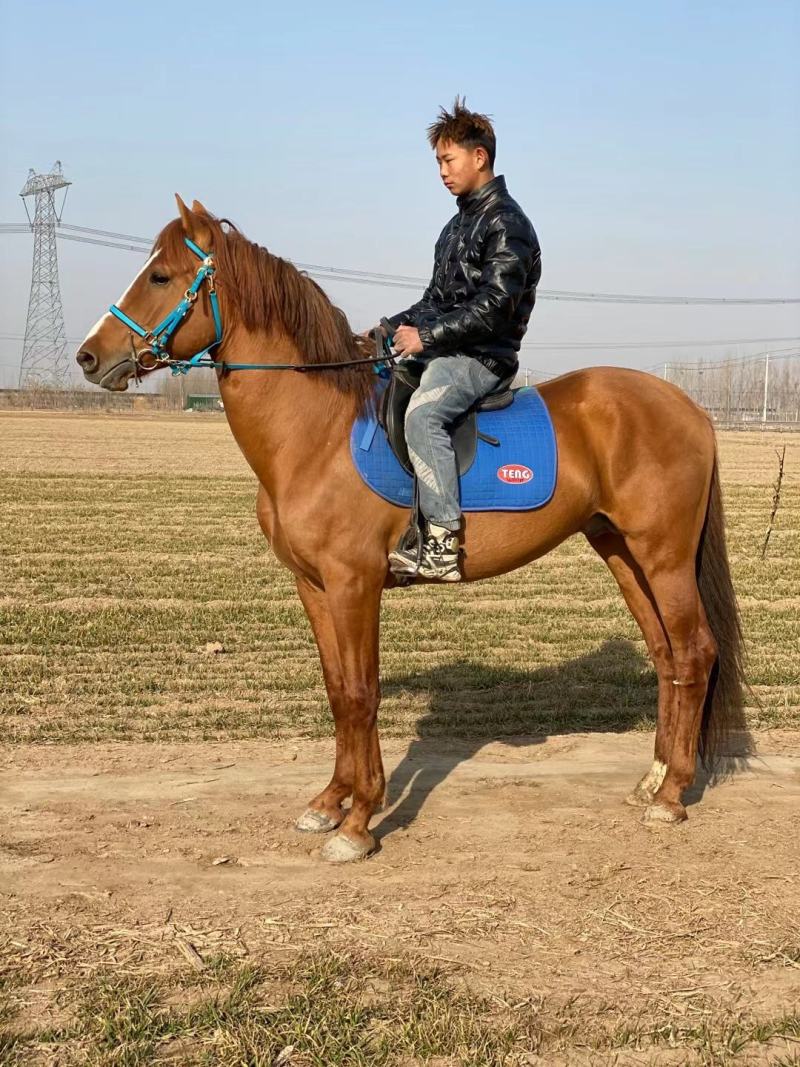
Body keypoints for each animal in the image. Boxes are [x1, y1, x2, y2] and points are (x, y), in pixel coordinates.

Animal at [76, 195, 746, 863]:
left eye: (160, 277)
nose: (87, 356)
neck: (315, 432)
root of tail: (690, 408)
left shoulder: (354, 585)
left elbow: (360, 693)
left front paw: (358, 822)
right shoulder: (313, 587)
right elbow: (337, 690)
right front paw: (330, 802)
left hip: (663, 557)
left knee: (695, 651)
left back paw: (672, 796)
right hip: (622, 553)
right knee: (666, 656)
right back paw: (652, 779)